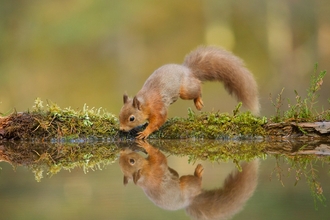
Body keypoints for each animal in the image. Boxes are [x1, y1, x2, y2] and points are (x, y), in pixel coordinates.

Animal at [119, 46, 260, 138]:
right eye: (120, 114)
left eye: (132, 118)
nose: (121, 129)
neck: (146, 101)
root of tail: (187, 70)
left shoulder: (158, 107)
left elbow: (159, 120)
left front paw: (145, 132)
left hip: (186, 90)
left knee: (198, 87)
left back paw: (198, 101)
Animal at [119, 141, 260, 218]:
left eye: (131, 161)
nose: (122, 152)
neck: (146, 174)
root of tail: (190, 201)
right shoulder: (157, 168)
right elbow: (159, 156)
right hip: (187, 185)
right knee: (195, 182)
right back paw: (198, 172)